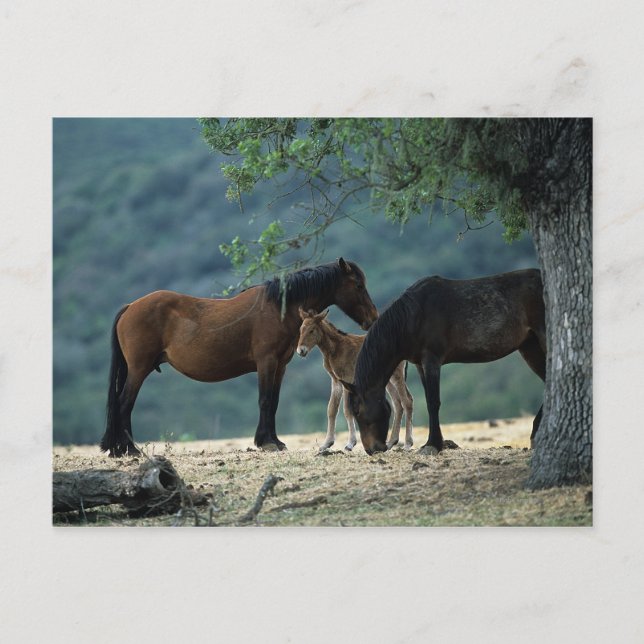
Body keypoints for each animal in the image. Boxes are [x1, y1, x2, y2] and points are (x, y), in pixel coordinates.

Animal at [99, 258, 378, 456]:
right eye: (358, 285)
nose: (373, 319)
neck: (278, 307)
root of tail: (130, 307)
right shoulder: (266, 362)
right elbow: (265, 401)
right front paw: (266, 443)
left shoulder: (280, 366)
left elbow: (274, 402)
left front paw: (274, 440)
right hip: (139, 369)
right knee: (124, 404)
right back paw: (130, 449)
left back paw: (119, 449)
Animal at [296, 308, 414, 452]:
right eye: (301, 329)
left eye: (312, 330)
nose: (301, 351)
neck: (335, 349)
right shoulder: (335, 381)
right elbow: (331, 409)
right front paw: (326, 444)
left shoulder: (347, 379)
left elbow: (347, 410)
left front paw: (350, 444)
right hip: (387, 379)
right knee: (398, 404)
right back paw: (391, 442)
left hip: (396, 375)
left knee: (407, 401)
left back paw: (407, 444)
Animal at [341, 269, 546, 455]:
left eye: (357, 411)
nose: (371, 449)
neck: (414, 316)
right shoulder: (420, 364)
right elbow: (427, 399)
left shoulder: (432, 360)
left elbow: (433, 402)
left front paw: (433, 444)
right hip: (530, 347)